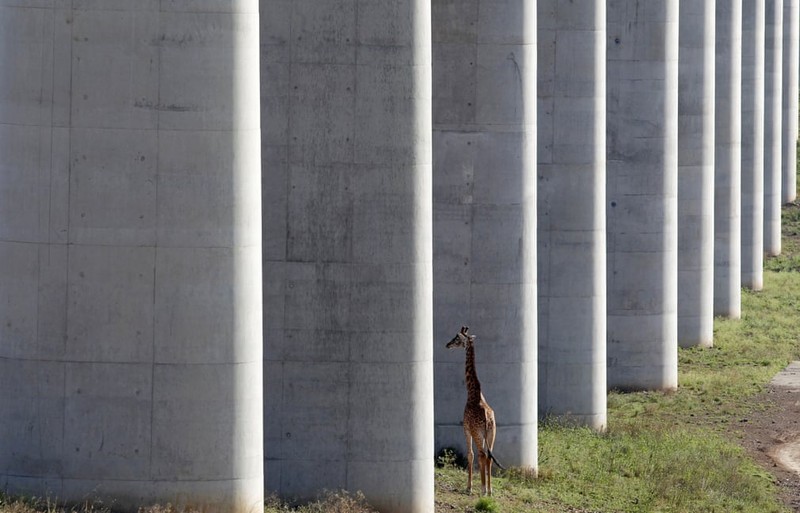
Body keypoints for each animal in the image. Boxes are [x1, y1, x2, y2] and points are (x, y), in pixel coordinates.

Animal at [446, 324, 504, 496]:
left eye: (457, 338)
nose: (447, 345)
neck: (473, 392)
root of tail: (488, 419)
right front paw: (481, 487)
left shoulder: (466, 428)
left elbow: (470, 455)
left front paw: (469, 487)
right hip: (492, 433)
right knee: (489, 456)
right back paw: (490, 490)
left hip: (478, 433)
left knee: (482, 454)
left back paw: (483, 489)